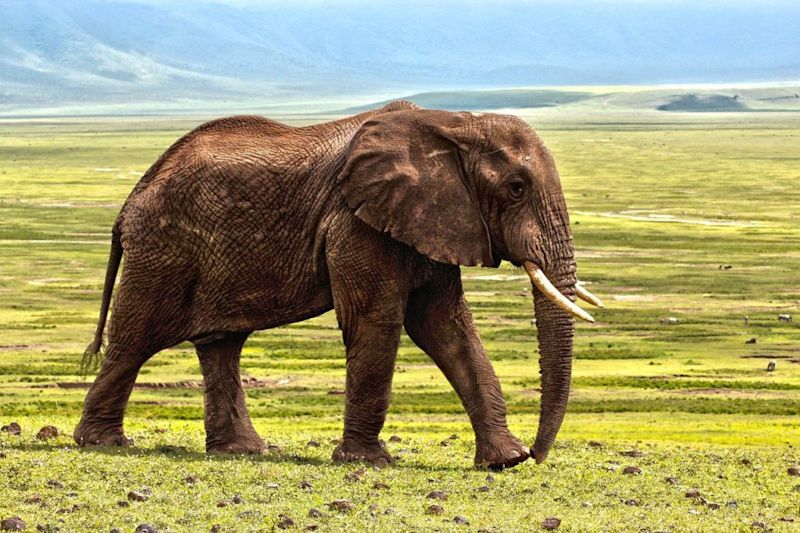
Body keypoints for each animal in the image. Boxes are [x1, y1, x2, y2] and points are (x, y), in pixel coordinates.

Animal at [76, 98, 600, 466]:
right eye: (516, 188)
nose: (537, 454)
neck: (453, 123)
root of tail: (130, 200)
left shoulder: (431, 221)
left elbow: (446, 327)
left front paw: (504, 462)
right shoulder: (355, 222)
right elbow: (378, 321)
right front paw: (368, 462)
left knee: (220, 344)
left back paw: (241, 452)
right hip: (163, 250)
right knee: (136, 337)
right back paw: (103, 444)